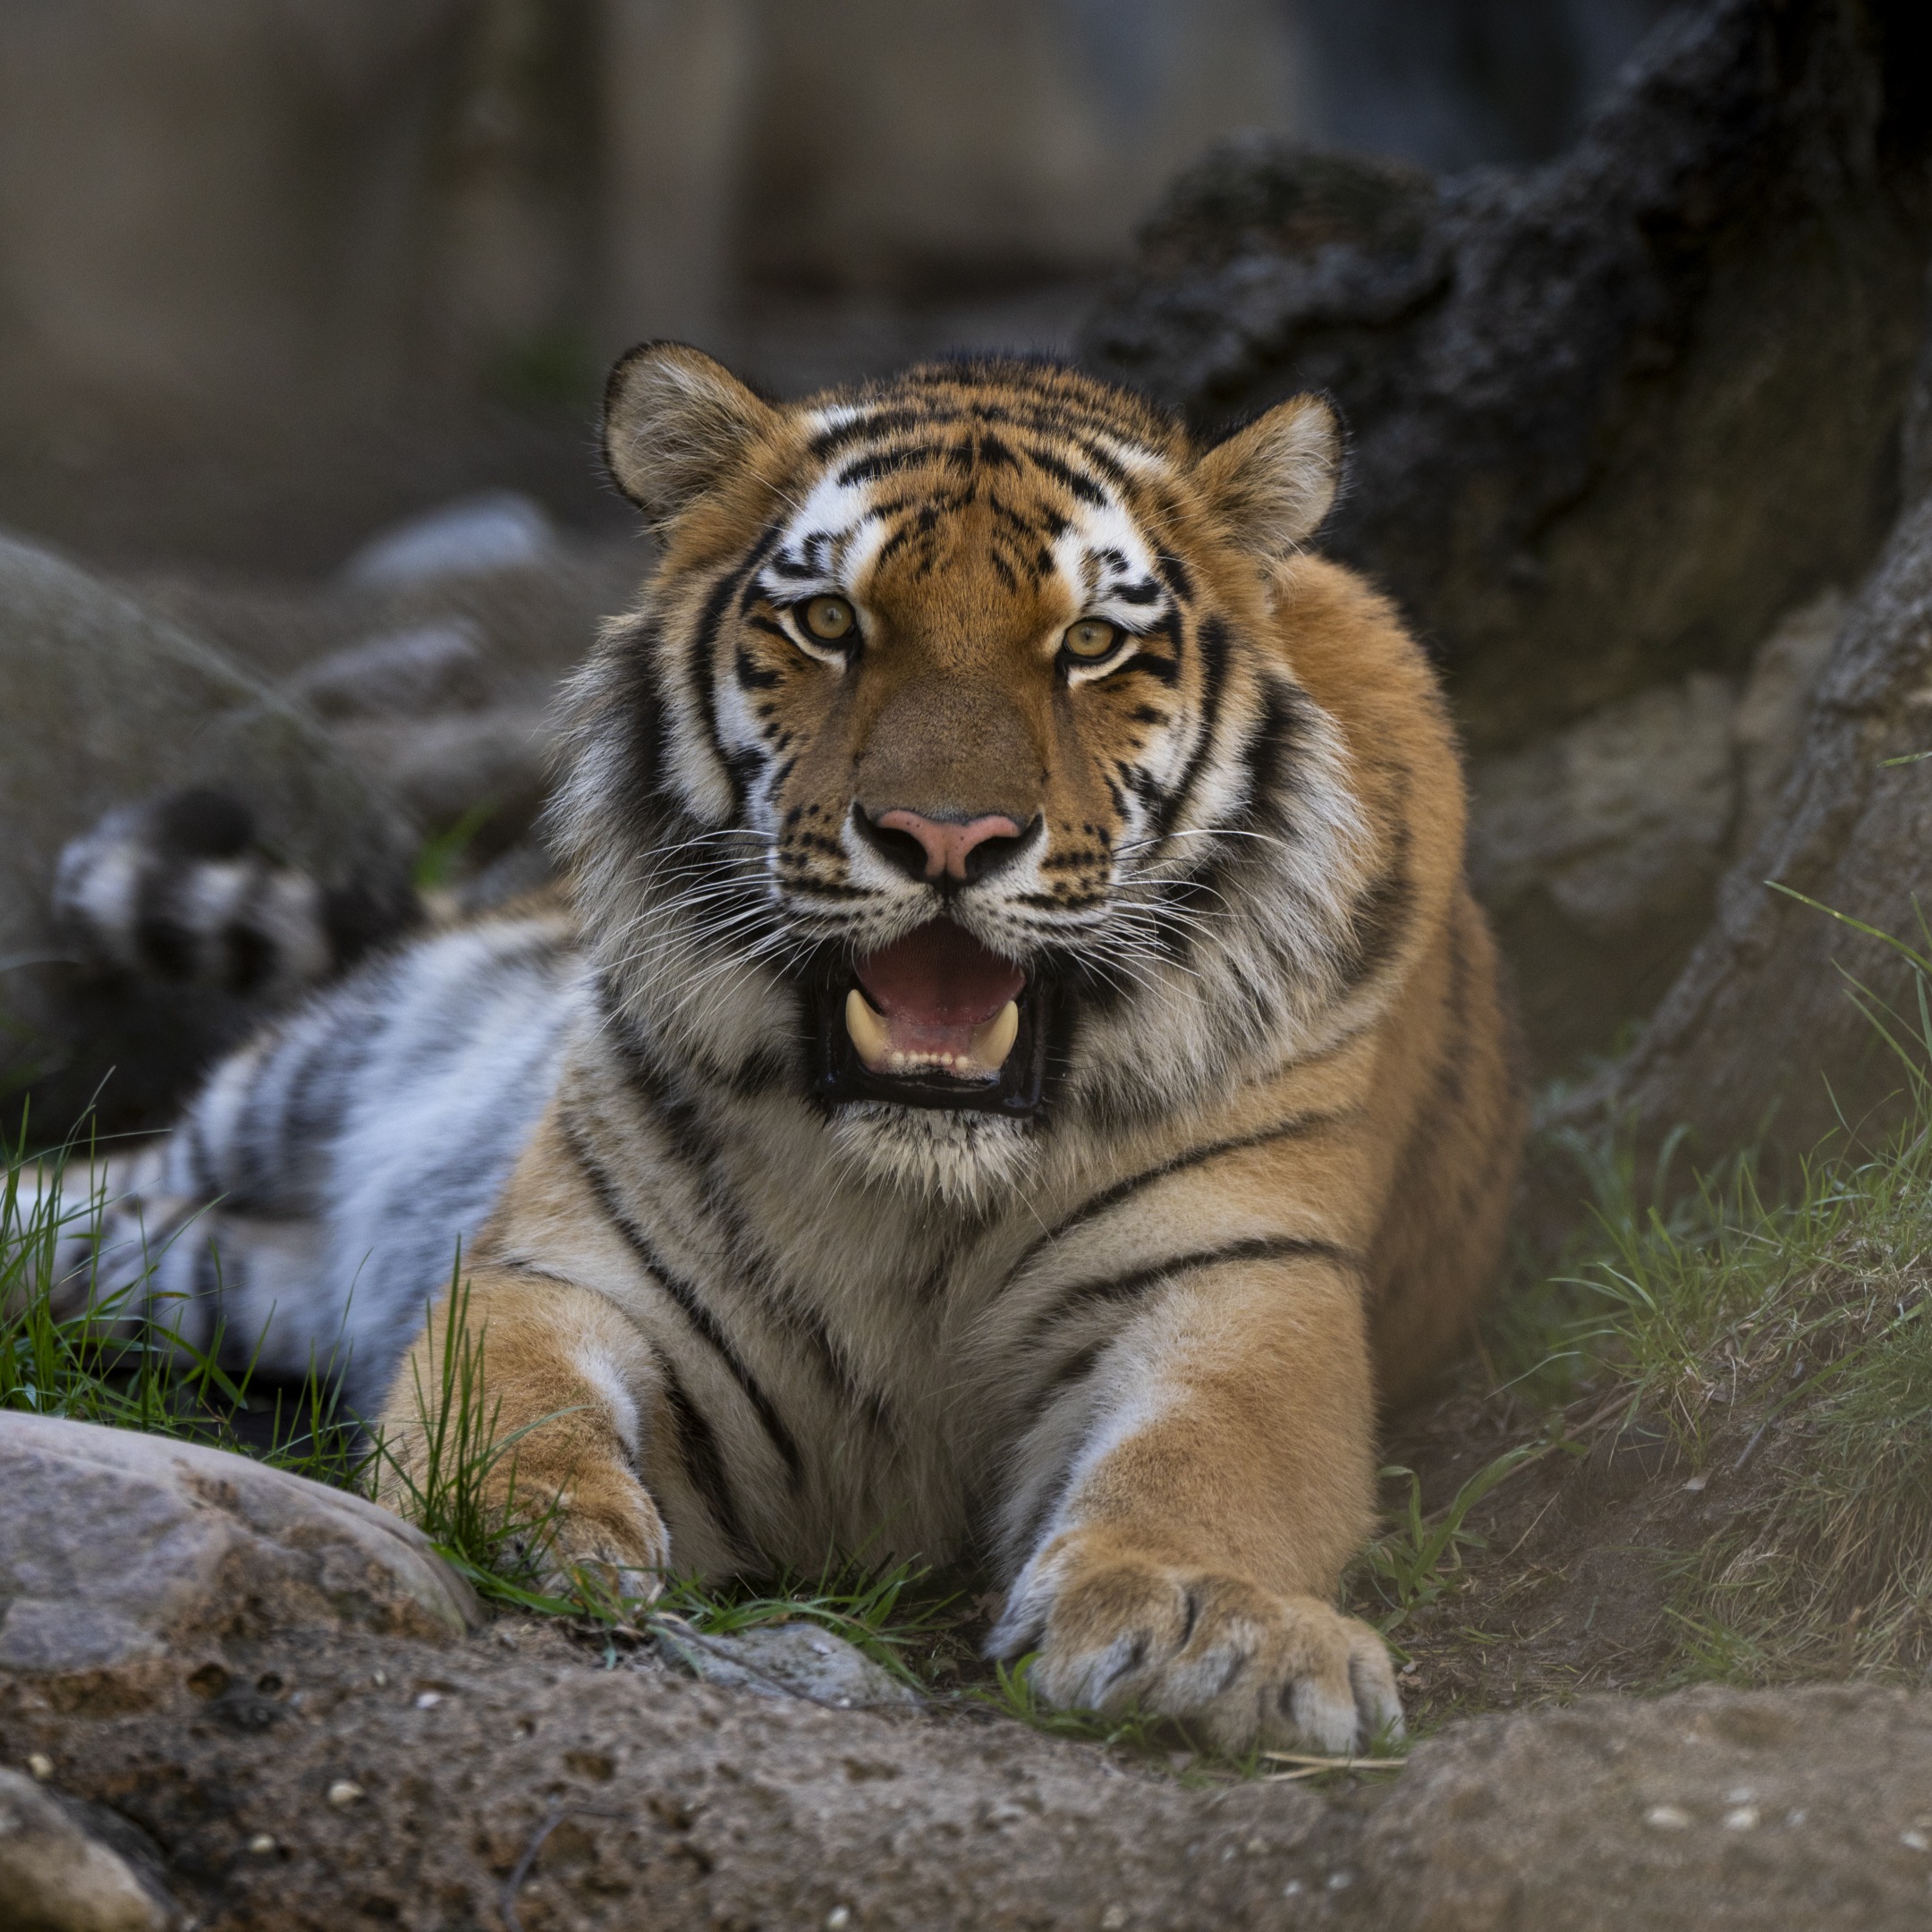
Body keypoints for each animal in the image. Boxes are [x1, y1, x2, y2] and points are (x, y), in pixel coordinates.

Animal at [54, 347, 1524, 1753]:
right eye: (829, 623)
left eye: (1094, 644)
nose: (947, 838)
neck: (920, 1187)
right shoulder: (563, 1265)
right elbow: (513, 1394)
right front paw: (536, 1527)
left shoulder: (1242, 1281)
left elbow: (1218, 1456)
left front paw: (1209, 1630)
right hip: (308, 1077)